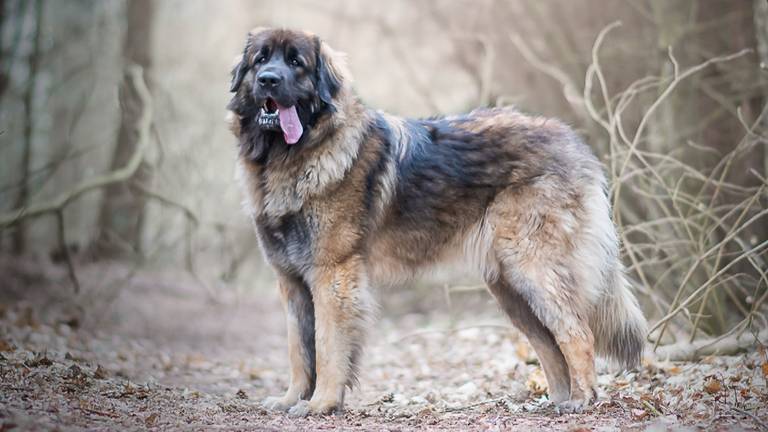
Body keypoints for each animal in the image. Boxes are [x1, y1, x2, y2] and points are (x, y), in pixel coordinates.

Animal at [226, 27, 648, 418]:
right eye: (261, 60)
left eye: (296, 63)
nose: (269, 80)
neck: (292, 158)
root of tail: (575, 145)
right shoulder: (292, 282)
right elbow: (299, 349)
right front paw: (291, 399)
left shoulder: (333, 275)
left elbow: (328, 345)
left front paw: (320, 403)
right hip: (510, 286)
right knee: (549, 343)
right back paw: (555, 401)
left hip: (534, 269)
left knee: (577, 333)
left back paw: (582, 400)